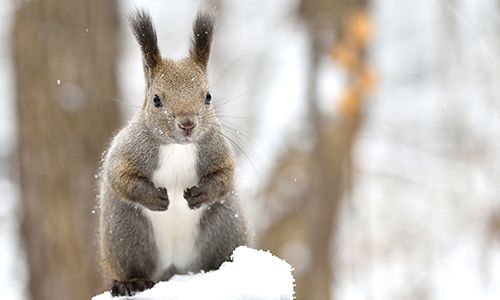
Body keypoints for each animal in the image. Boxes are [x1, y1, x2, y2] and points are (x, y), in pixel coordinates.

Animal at [97, 9, 248, 298]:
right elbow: (119, 177)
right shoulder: (126, 151)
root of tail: (174, 268)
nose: (187, 123)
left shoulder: (218, 151)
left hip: (224, 226)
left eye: (208, 96)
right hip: (126, 234)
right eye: (156, 99)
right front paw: (154, 197)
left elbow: (226, 177)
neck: (179, 148)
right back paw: (130, 283)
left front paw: (201, 193)